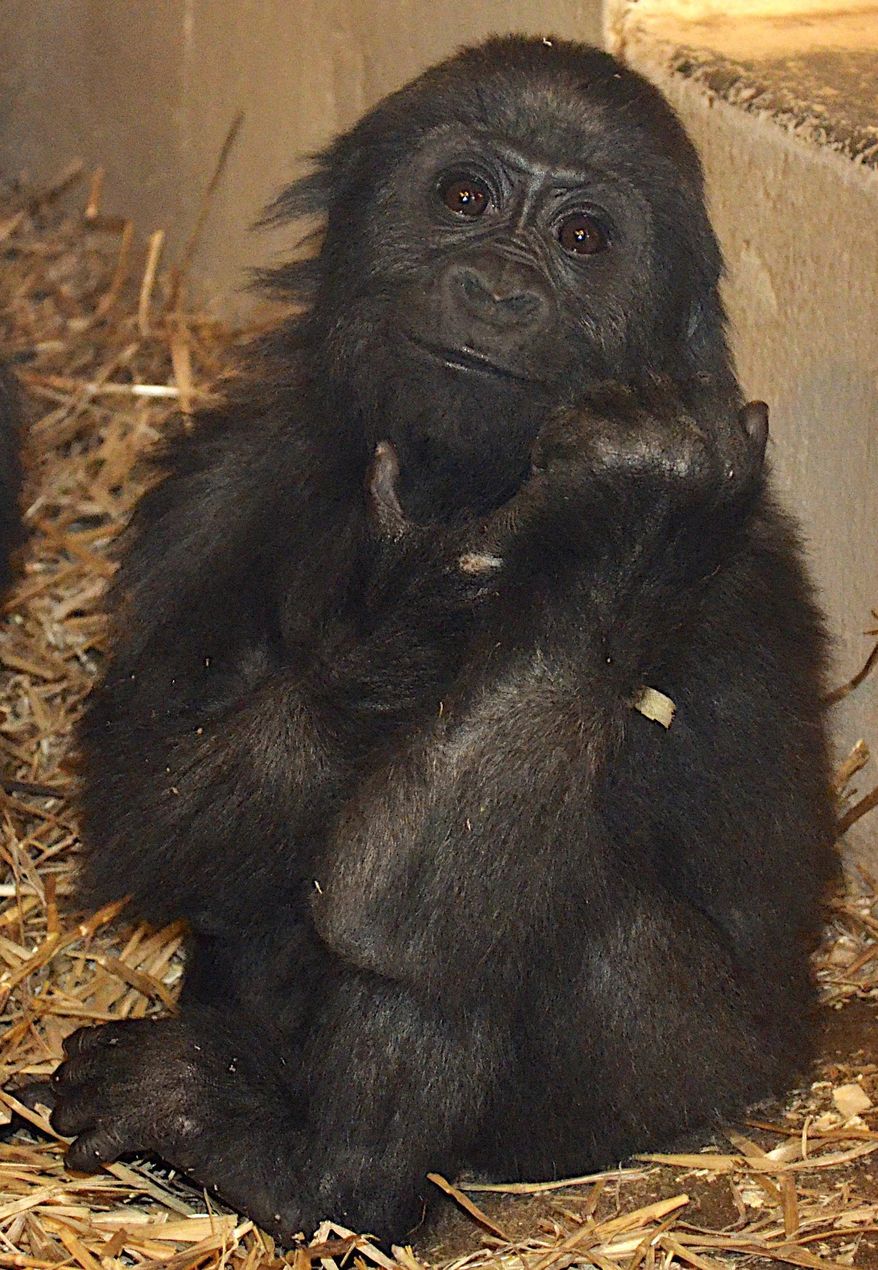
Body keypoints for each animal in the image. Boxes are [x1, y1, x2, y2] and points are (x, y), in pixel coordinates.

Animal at [45, 36, 836, 1244]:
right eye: (463, 198)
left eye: (583, 239)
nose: (501, 289)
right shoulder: (213, 486)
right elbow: (147, 801)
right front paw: (413, 612)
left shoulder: (735, 547)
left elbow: (407, 906)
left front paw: (629, 524)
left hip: (706, 1076)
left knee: (454, 902)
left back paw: (320, 1175)